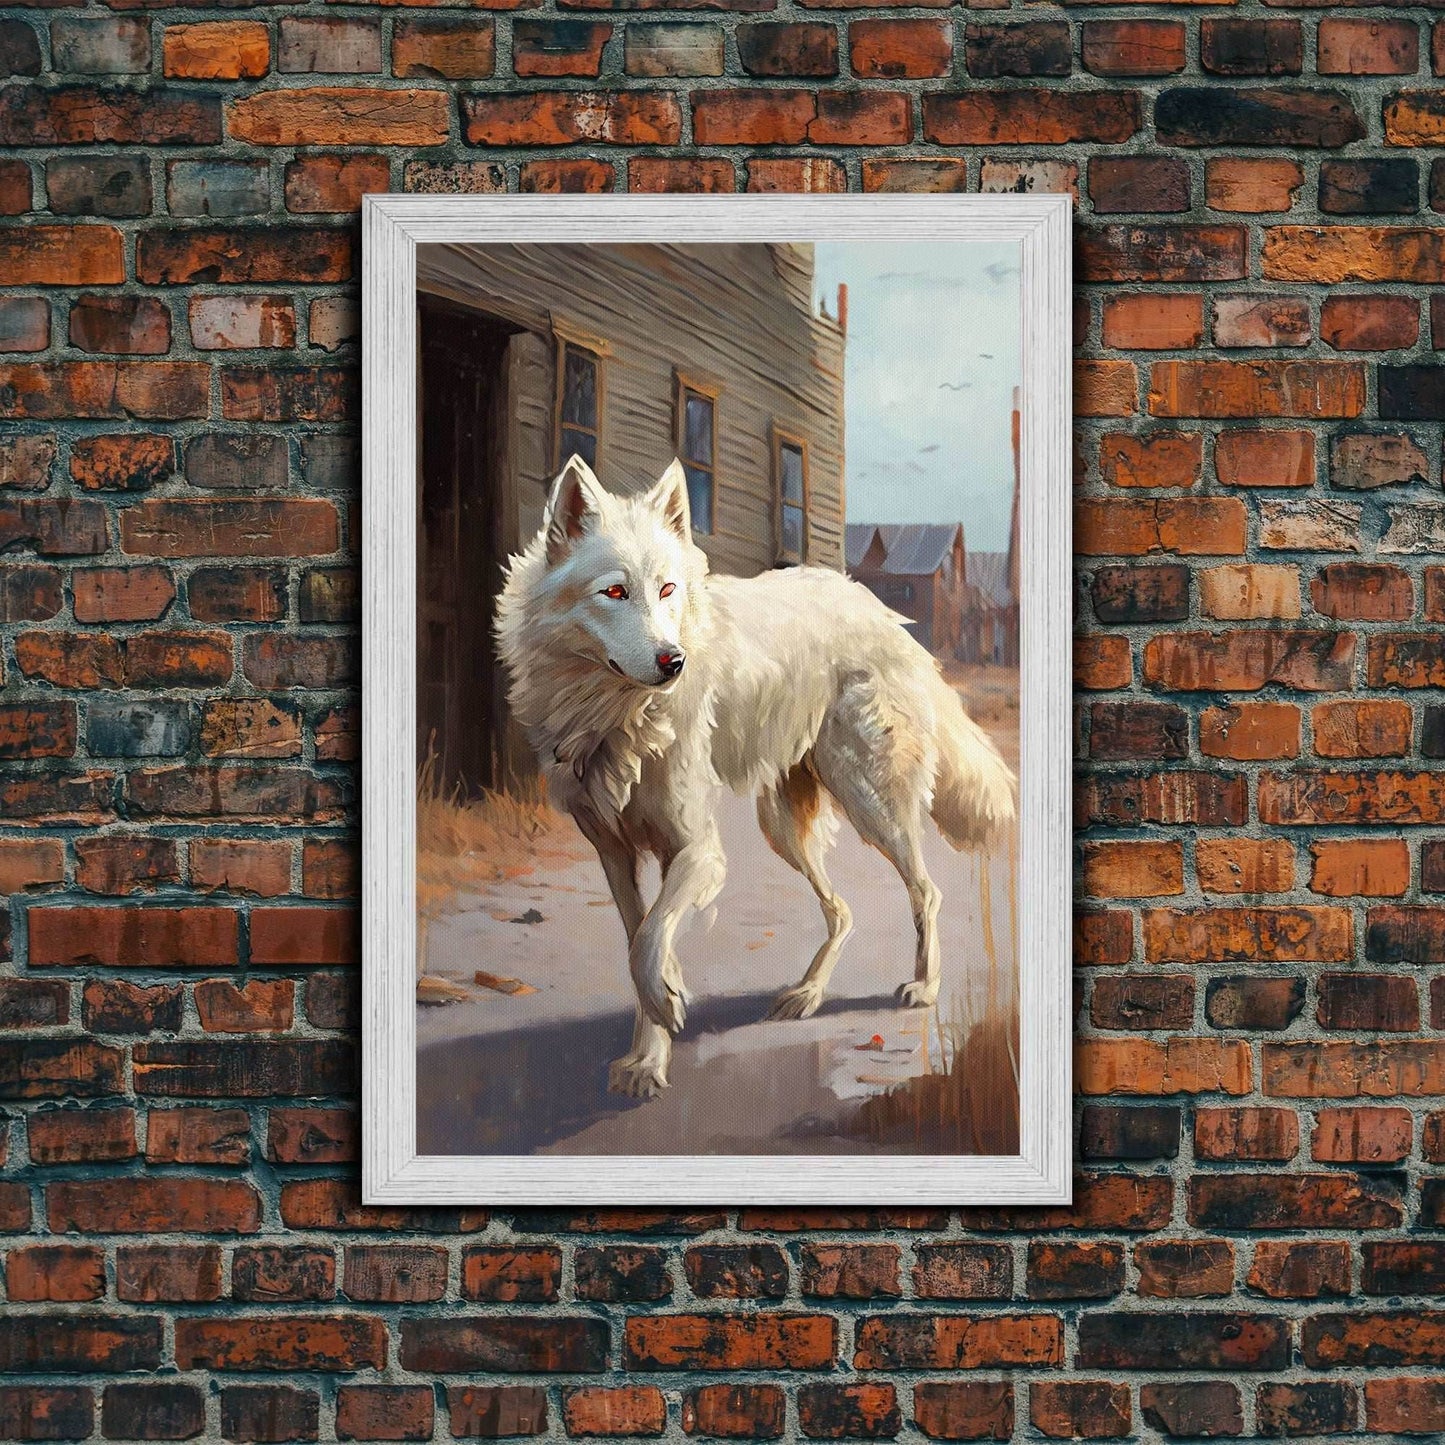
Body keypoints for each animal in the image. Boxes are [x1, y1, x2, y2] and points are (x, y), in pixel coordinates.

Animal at [495, 455, 1017, 1098]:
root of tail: (887, 617)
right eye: (614, 591)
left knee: (926, 890)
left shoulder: (696, 849)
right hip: (782, 826)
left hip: (870, 802)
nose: (674, 662)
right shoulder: (615, 854)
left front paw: (664, 1014)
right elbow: (640, 942)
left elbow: (648, 943)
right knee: (843, 909)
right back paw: (806, 994)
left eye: (667, 589)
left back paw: (923, 988)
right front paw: (652, 1047)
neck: (616, 712)